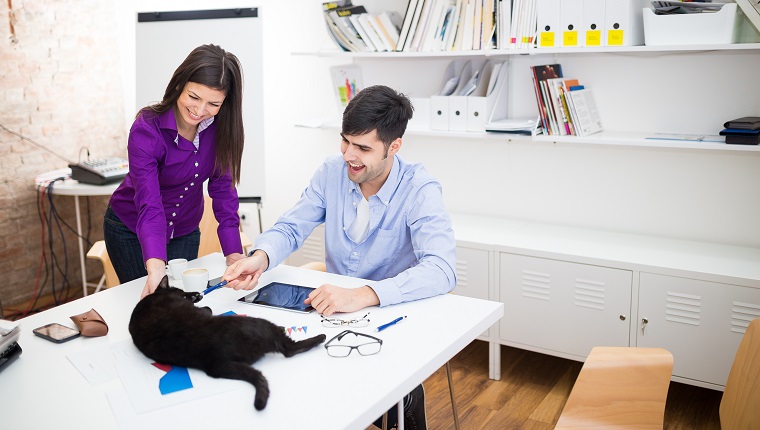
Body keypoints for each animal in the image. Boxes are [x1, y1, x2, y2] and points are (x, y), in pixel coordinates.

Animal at [131, 276, 326, 410]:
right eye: (185, 295)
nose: (197, 295)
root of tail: (217, 360)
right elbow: (207, 309)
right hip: (262, 324)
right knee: (289, 348)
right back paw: (320, 337)